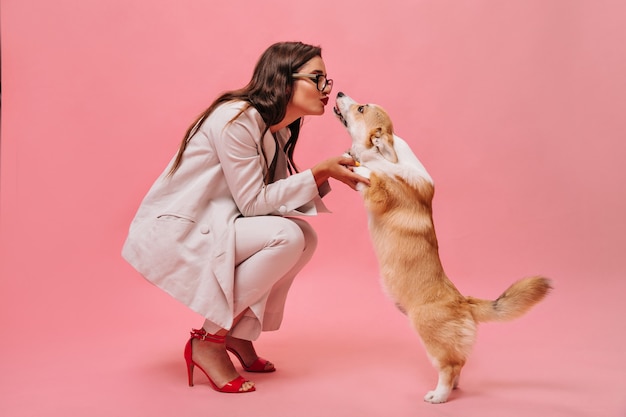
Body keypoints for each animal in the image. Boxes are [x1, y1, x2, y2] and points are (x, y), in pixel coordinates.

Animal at [334, 92, 548, 404]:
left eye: (361, 108)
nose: (338, 93)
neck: (388, 157)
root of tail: (464, 302)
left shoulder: (380, 192)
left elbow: (373, 175)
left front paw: (359, 163)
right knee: (459, 365)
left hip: (429, 335)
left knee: (450, 366)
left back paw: (439, 395)